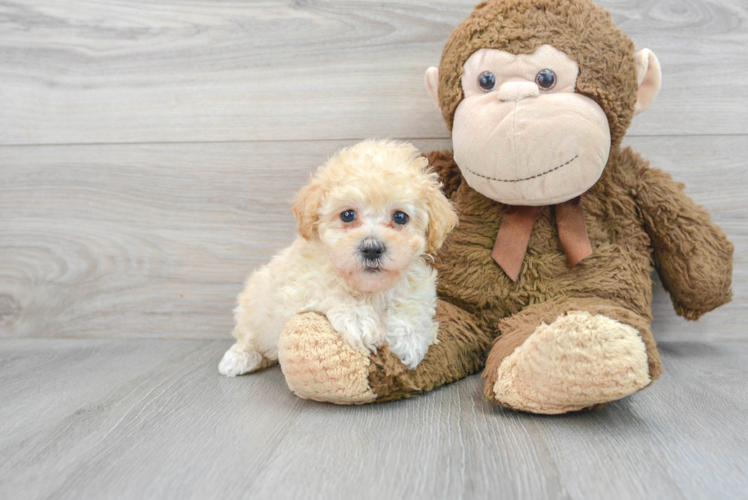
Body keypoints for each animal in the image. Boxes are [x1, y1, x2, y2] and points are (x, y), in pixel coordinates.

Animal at [219, 138, 458, 376]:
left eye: (400, 217)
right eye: (348, 215)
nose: (372, 248)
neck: (368, 288)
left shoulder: (416, 284)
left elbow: (413, 303)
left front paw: (409, 338)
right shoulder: (299, 285)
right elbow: (328, 288)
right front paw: (359, 319)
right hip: (253, 303)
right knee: (248, 336)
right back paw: (239, 358)